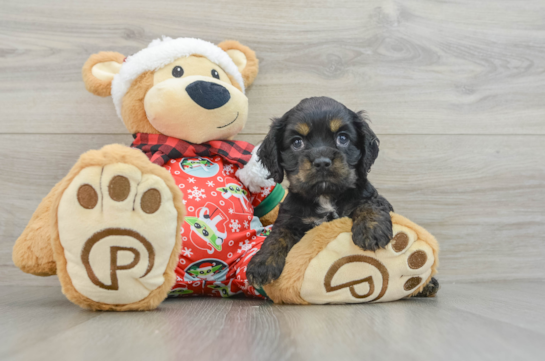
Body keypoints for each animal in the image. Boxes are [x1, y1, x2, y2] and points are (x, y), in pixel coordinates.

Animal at [246, 95, 438, 296]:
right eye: (297, 142)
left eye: (343, 138)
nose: (322, 162)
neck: (326, 195)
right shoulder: (291, 217)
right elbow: (278, 235)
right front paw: (261, 264)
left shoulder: (370, 196)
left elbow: (368, 204)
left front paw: (371, 230)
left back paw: (427, 284)